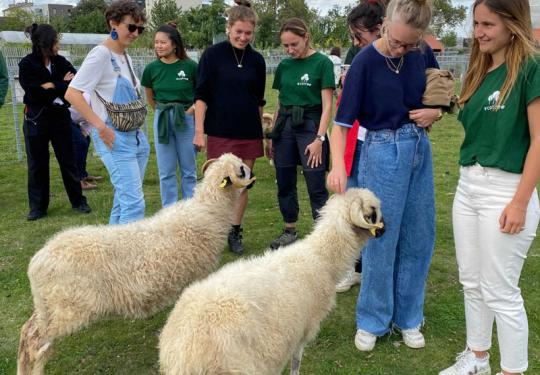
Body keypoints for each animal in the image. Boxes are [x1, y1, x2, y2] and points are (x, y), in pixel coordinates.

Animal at [14, 153, 255, 375]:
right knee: (36, 344)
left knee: (27, 332)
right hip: (68, 309)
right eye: (242, 170)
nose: (253, 176)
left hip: (50, 305)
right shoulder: (197, 274)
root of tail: (38, 261)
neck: (210, 210)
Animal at [158, 188, 382, 375]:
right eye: (373, 210)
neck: (320, 257)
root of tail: (186, 354)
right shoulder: (301, 331)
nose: (384, 229)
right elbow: (296, 363)